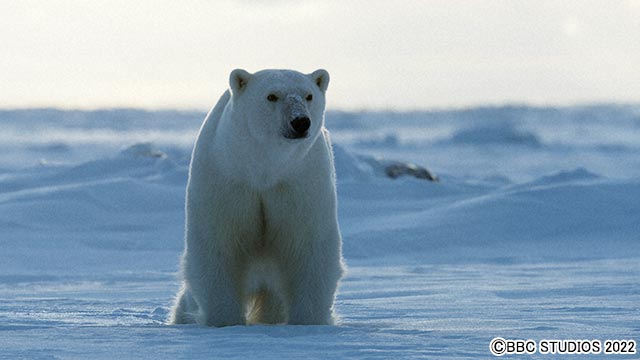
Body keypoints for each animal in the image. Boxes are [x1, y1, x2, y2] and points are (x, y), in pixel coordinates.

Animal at [168, 67, 342, 326]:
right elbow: (218, 247)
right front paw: (225, 321)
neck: (264, 169)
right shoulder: (228, 179)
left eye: (309, 95)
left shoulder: (299, 182)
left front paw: (308, 321)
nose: (300, 121)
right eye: (271, 96)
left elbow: (309, 247)